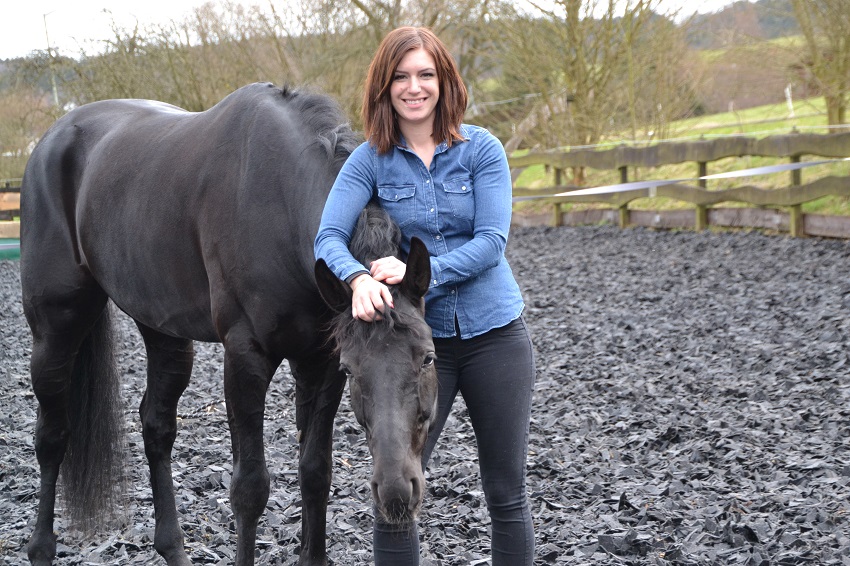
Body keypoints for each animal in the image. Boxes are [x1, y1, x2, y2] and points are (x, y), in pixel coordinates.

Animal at [19, 81, 438, 566]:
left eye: (428, 358)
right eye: (355, 369)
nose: (396, 492)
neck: (280, 201)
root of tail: (53, 138)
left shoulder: (319, 362)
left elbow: (315, 472)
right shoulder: (246, 358)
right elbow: (250, 489)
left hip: (163, 331)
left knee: (156, 426)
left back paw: (172, 547)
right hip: (56, 328)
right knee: (52, 436)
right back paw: (41, 547)